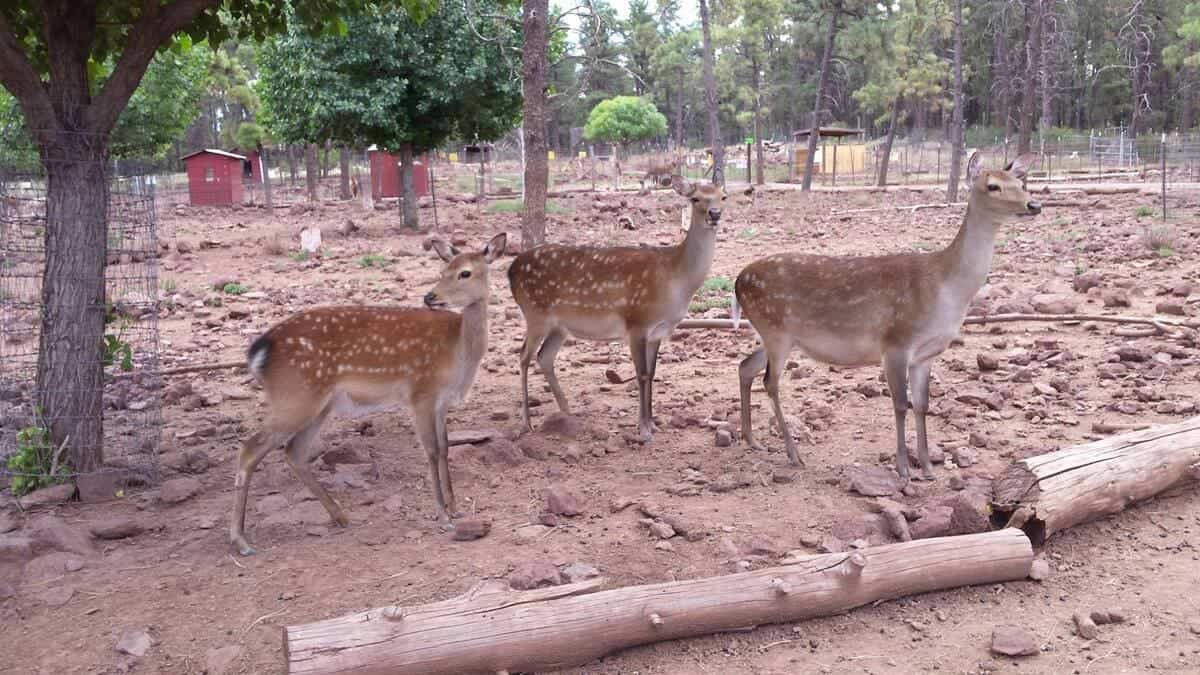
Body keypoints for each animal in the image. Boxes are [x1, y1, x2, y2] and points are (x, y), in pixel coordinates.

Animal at [229, 233, 507, 556]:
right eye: (442, 270)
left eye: (464, 272)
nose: (430, 297)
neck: (459, 355)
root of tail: (258, 351)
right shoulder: (420, 392)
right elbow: (431, 450)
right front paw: (442, 515)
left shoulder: (441, 402)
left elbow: (445, 447)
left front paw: (455, 507)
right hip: (295, 396)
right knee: (249, 449)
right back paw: (241, 540)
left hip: (318, 403)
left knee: (294, 451)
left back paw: (341, 516)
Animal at [509, 175, 743, 442]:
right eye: (695, 199)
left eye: (723, 197)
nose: (714, 214)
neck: (675, 280)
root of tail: (511, 270)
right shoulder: (636, 322)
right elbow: (641, 374)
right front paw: (643, 429)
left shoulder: (658, 331)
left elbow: (652, 373)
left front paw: (653, 423)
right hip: (535, 313)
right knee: (524, 356)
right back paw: (527, 422)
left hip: (560, 326)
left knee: (544, 356)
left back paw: (567, 413)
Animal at [734, 152, 1041, 483]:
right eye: (993, 185)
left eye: (1022, 182)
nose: (1033, 205)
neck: (946, 288)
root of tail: (737, 283)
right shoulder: (895, 342)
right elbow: (900, 404)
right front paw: (903, 468)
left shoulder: (926, 354)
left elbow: (922, 405)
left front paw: (928, 467)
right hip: (775, 330)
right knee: (770, 382)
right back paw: (793, 454)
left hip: (775, 335)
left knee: (745, 366)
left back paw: (751, 439)